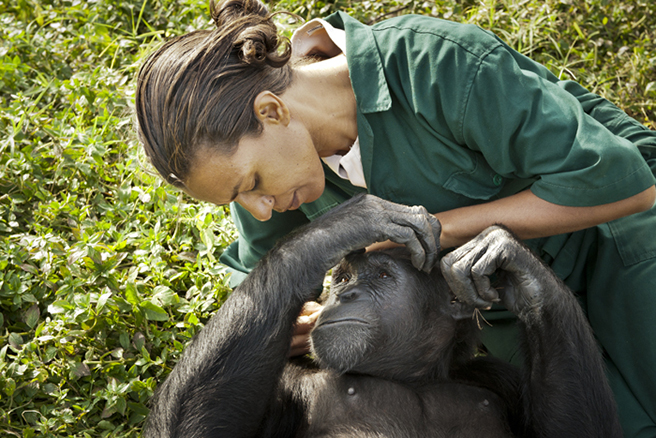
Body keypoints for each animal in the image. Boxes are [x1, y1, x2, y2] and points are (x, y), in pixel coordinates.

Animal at [144, 195, 620, 438]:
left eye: (383, 275)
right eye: (341, 277)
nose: (346, 294)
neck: (408, 377)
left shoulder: (500, 378)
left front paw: (512, 262)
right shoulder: (288, 380)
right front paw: (345, 225)